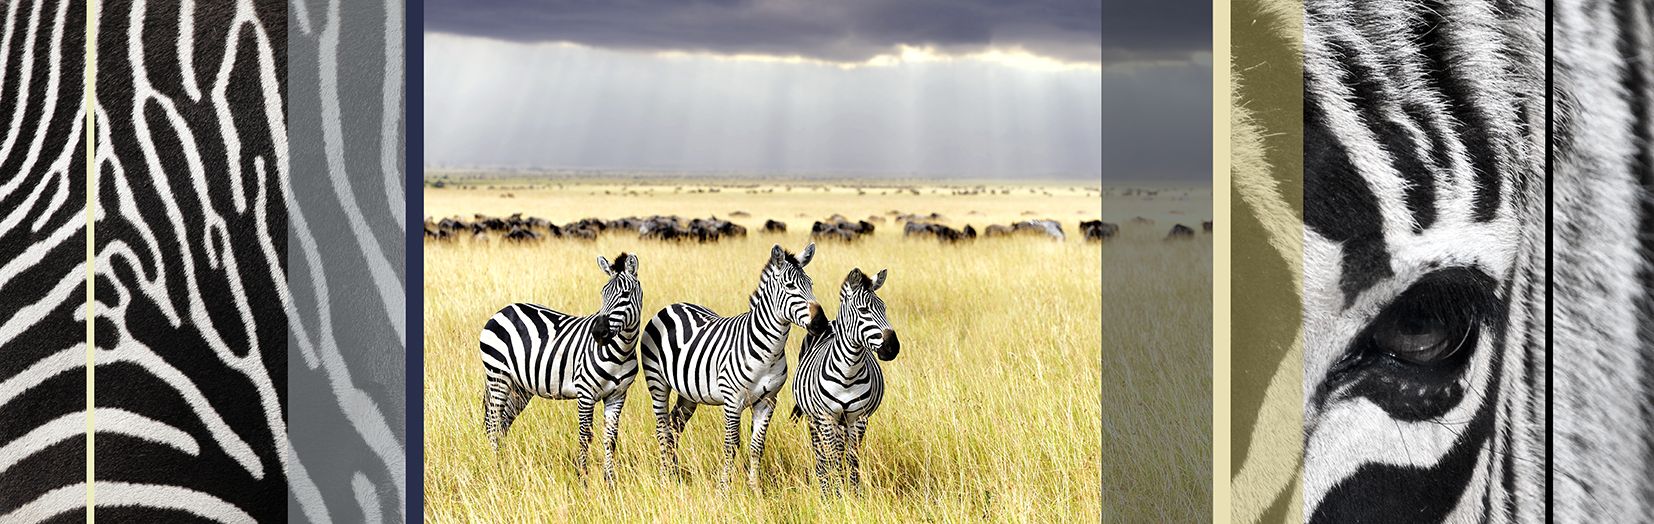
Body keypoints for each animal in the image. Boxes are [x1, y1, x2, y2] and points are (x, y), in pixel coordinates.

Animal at [479, 252, 642, 484]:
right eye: (603, 294)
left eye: (625, 294)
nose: (598, 332)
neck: (621, 351)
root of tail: (504, 309)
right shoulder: (585, 393)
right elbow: (585, 436)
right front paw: (583, 478)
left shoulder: (617, 396)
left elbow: (610, 439)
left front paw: (609, 481)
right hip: (498, 376)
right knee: (493, 424)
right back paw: (496, 470)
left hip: (520, 387)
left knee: (502, 424)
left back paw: (504, 467)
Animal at [639, 242, 828, 491]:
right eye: (790, 286)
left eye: (811, 284)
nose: (821, 323)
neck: (769, 351)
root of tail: (672, 305)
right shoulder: (732, 400)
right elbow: (731, 444)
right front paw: (724, 488)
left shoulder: (768, 401)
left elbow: (757, 446)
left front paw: (755, 488)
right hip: (658, 383)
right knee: (663, 428)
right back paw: (664, 478)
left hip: (688, 393)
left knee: (675, 424)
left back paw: (674, 472)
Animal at [789, 268, 899, 497]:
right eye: (863, 310)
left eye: (884, 308)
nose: (893, 347)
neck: (849, 372)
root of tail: (830, 322)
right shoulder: (826, 416)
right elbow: (833, 458)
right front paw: (837, 494)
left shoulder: (859, 418)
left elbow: (852, 459)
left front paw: (855, 495)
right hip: (814, 419)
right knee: (822, 454)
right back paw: (824, 487)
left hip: (842, 421)